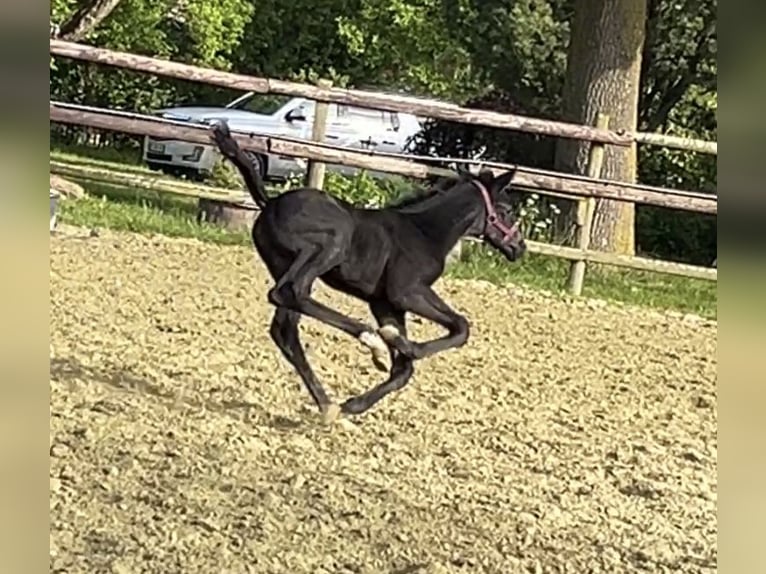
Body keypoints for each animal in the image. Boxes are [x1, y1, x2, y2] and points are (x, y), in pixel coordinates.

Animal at [208, 120, 526, 421]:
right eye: (507, 210)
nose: (519, 247)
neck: (424, 232)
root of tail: (270, 202)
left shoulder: (385, 303)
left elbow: (404, 370)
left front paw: (354, 403)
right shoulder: (405, 292)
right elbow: (460, 327)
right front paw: (396, 342)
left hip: (285, 264)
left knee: (285, 328)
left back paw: (329, 407)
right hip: (331, 243)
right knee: (288, 292)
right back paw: (371, 340)